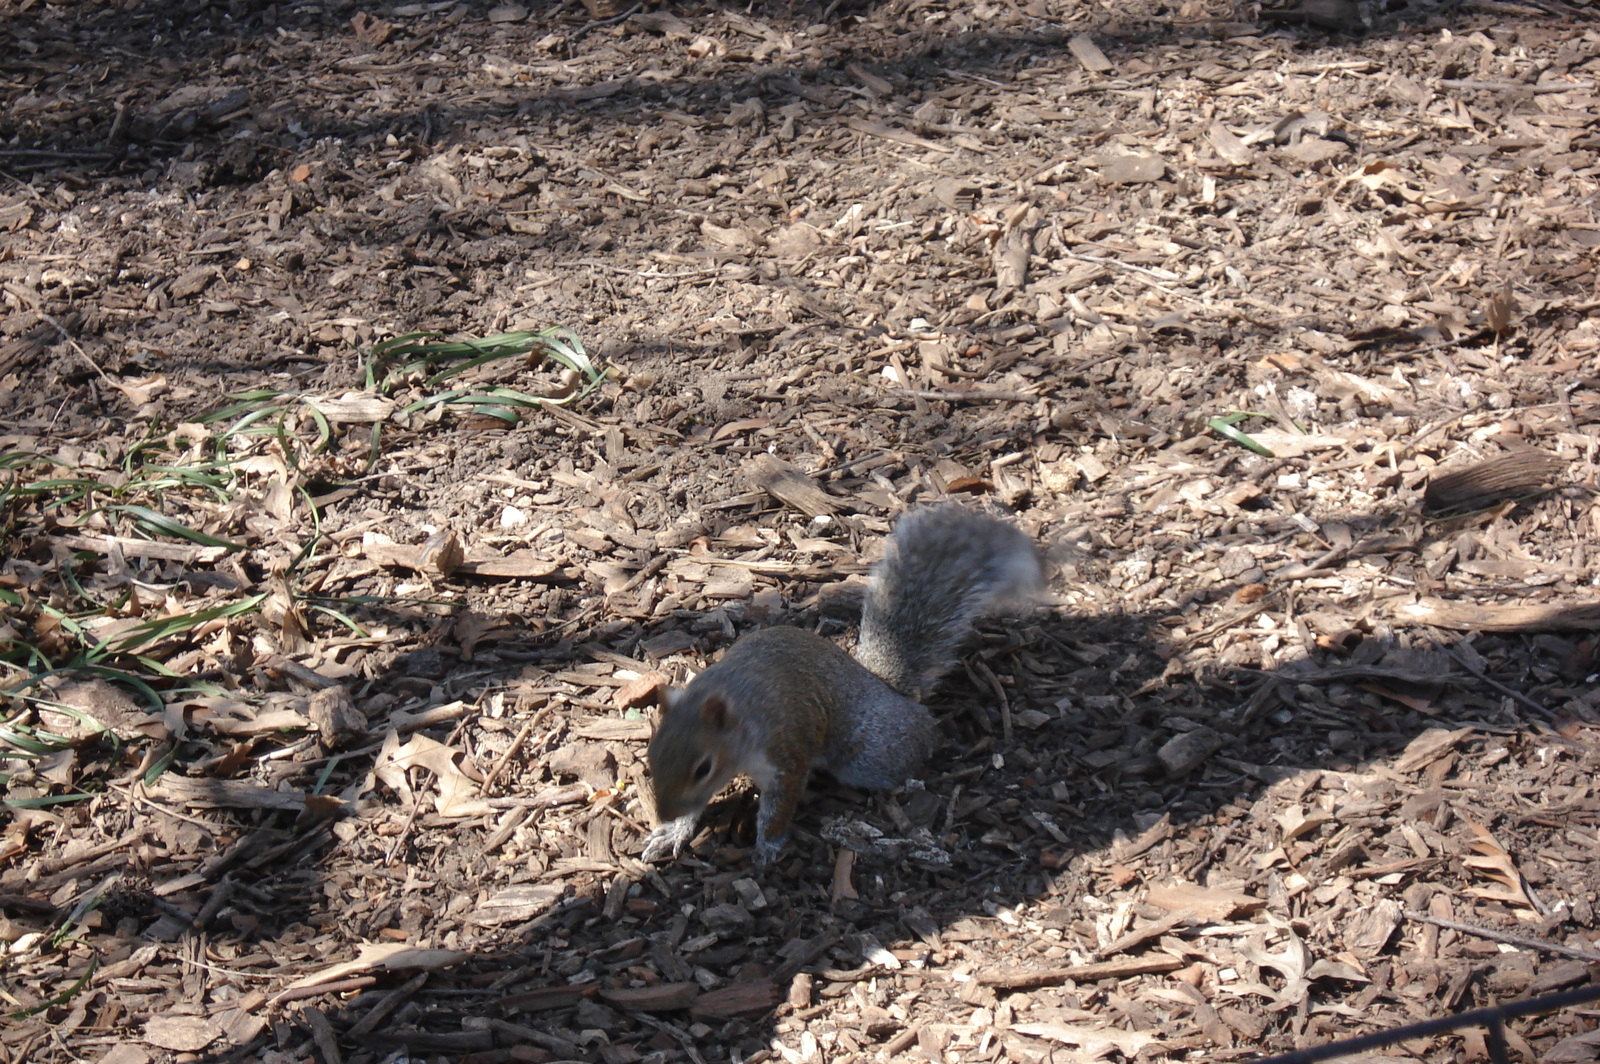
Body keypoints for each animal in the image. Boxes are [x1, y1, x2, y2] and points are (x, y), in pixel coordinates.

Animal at [643, 505, 1043, 864]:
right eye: (651, 757)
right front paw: (674, 830)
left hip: (869, 751)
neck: (738, 709)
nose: (664, 812)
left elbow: (780, 805)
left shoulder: (787, 750)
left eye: (703, 768)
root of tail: (886, 686)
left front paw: (767, 846)